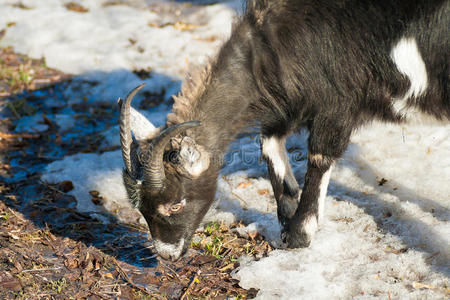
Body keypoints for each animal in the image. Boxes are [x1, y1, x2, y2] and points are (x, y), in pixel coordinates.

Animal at [118, 0, 450, 260]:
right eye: (142, 208)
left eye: (175, 205)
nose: (167, 254)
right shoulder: (288, 104)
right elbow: (268, 143)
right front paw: (287, 215)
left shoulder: (337, 104)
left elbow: (319, 156)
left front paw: (300, 234)